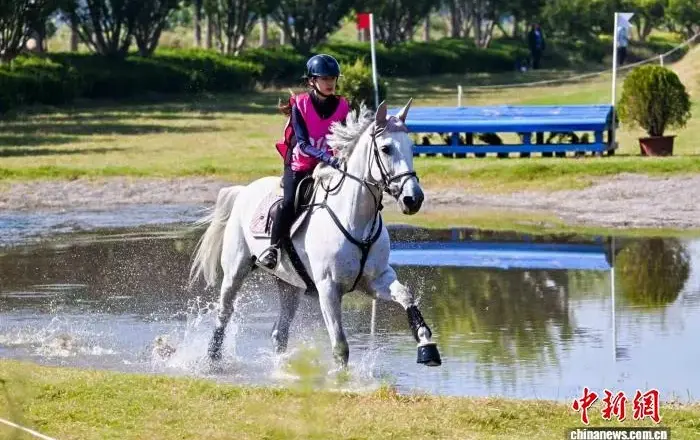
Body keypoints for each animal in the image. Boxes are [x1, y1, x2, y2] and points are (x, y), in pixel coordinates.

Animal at [188, 98, 442, 370]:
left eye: (411, 147)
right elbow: (340, 346)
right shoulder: (328, 289)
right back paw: (212, 359)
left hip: (289, 284)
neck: (356, 221)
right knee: (224, 313)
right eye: (386, 149)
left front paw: (426, 346)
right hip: (236, 269)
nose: (413, 199)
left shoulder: (376, 280)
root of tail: (244, 190)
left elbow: (406, 295)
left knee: (279, 331)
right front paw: (342, 378)